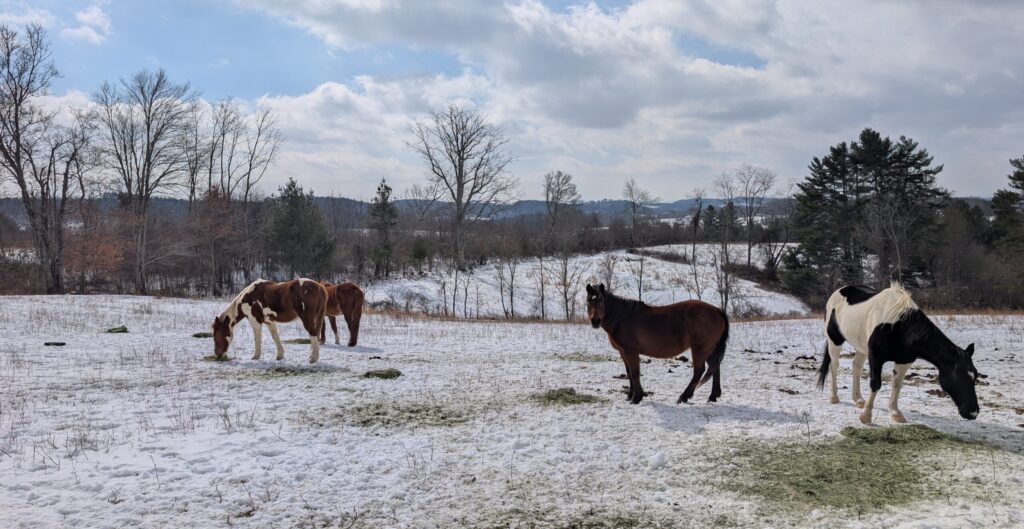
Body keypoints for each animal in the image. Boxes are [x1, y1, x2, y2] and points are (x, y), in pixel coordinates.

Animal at [585, 283, 730, 405]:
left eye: (601, 301)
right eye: (588, 301)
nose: (595, 321)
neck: (622, 318)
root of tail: (716, 310)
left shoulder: (631, 351)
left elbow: (634, 372)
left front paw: (637, 398)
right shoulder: (623, 352)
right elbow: (629, 372)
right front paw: (630, 395)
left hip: (700, 349)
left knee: (699, 371)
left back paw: (684, 396)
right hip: (710, 349)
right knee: (714, 367)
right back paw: (713, 396)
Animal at [816, 283, 980, 423]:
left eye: (974, 376)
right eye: (959, 376)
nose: (973, 413)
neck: (899, 325)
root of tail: (840, 290)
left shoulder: (904, 361)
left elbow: (897, 385)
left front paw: (895, 413)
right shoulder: (876, 357)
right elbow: (875, 384)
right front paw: (866, 416)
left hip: (861, 346)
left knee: (856, 367)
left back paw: (858, 400)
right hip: (835, 340)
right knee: (834, 366)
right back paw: (834, 397)